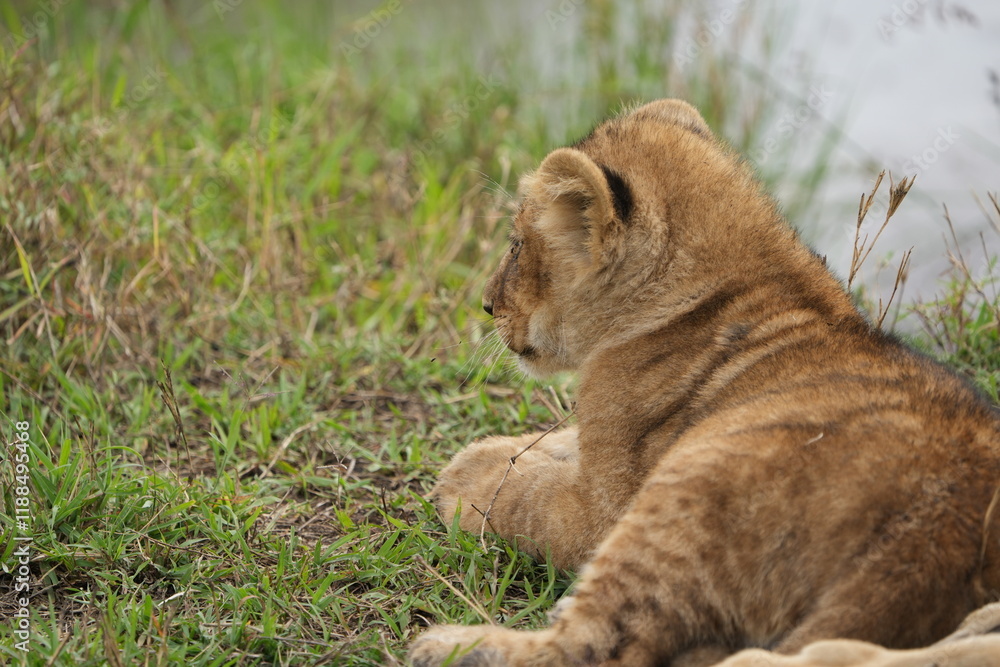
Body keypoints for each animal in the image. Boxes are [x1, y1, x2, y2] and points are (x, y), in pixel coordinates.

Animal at [409, 99, 1000, 666]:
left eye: (515, 244)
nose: (486, 305)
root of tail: (935, 535)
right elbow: (557, 445)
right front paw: (493, 449)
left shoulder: (601, 509)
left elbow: (527, 495)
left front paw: (466, 476)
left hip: (688, 489)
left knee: (596, 647)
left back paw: (448, 648)